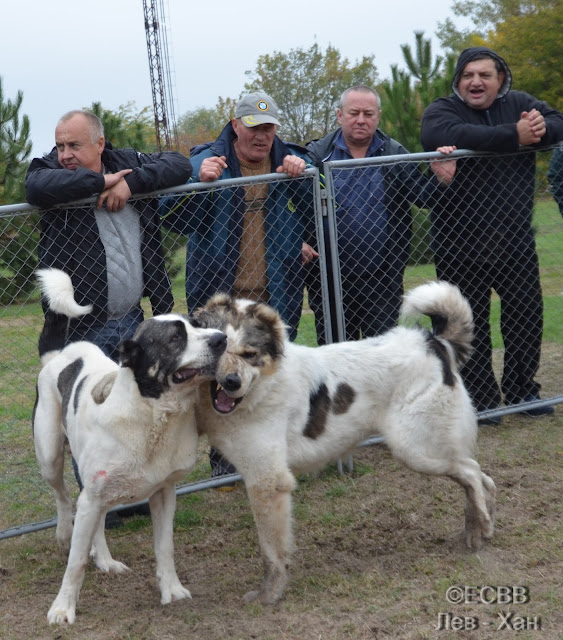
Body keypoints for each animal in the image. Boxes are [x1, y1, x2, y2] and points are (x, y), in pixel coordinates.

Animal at [33, 268, 226, 624]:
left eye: (197, 324)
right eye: (175, 338)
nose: (222, 339)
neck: (152, 416)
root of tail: (59, 355)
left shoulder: (163, 492)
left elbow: (164, 547)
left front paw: (171, 589)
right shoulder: (92, 495)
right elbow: (75, 562)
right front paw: (63, 608)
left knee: (91, 516)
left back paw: (106, 561)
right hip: (50, 456)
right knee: (63, 497)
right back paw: (64, 534)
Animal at [191, 281, 496, 604]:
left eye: (249, 354)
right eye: (219, 348)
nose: (232, 382)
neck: (261, 387)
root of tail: (434, 342)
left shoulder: (268, 482)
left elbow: (271, 551)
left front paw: (269, 595)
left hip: (416, 449)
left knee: (472, 473)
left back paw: (483, 523)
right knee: (481, 478)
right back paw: (478, 527)